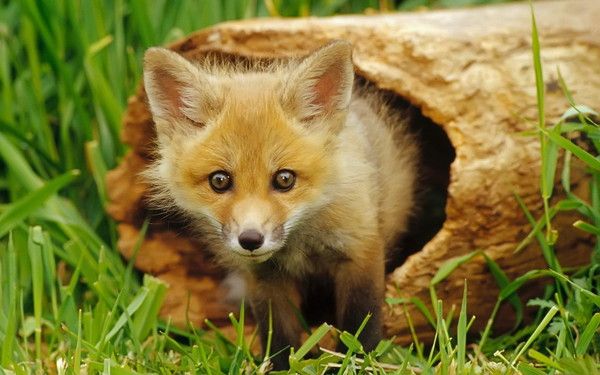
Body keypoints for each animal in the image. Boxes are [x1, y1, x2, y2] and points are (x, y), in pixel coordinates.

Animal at [142, 41, 414, 370]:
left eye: (284, 179)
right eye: (219, 180)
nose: (250, 239)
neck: (301, 244)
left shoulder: (360, 250)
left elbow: (360, 325)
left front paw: (357, 363)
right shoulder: (265, 278)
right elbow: (279, 337)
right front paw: (279, 366)